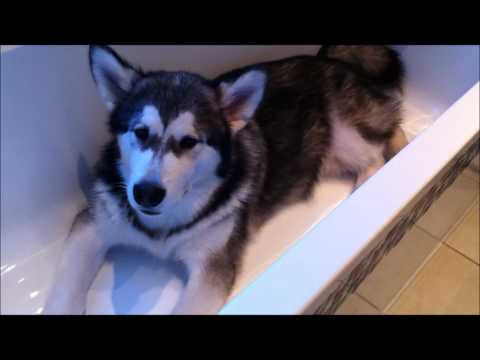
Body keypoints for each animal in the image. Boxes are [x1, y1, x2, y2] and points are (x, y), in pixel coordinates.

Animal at [44, 45, 404, 316]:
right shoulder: (92, 224)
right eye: (140, 132)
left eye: (189, 141)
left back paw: (367, 184)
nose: (146, 193)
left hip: (344, 134)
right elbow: (64, 293)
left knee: (382, 148)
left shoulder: (212, 268)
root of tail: (329, 58)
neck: (162, 225)